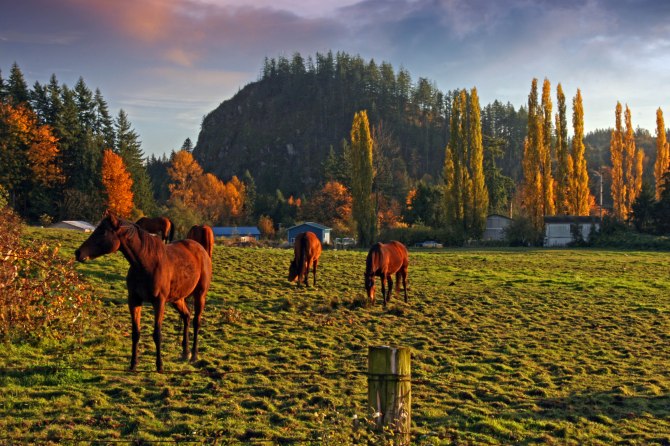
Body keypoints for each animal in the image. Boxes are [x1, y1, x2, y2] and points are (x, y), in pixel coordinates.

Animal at [75, 211, 211, 373]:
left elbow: (157, 334)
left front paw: (159, 366)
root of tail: (201, 249)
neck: (147, 263)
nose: (78, 253)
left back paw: (194, 355)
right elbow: (136, 333)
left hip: (200, 295)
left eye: (102, 232)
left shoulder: (159, 302)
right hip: (177, 299)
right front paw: (133, 364)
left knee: (196, 321)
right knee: (186, 316)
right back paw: (185, 353)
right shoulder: (134, 300)